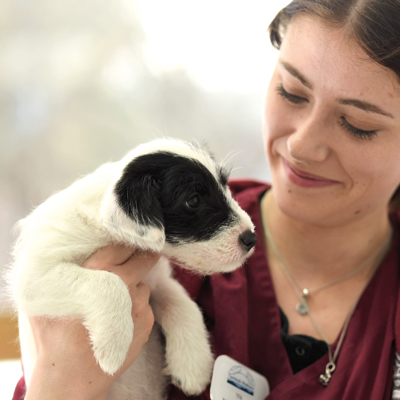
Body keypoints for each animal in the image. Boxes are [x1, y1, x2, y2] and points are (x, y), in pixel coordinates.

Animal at [7, 138, 258, 400]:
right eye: (193, 200)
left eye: (225, 186)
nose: (251, 238)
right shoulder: (33, 277)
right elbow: (110, 283)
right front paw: (114, 342)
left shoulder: (157, 279)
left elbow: (183, 303)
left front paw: (193, 365)